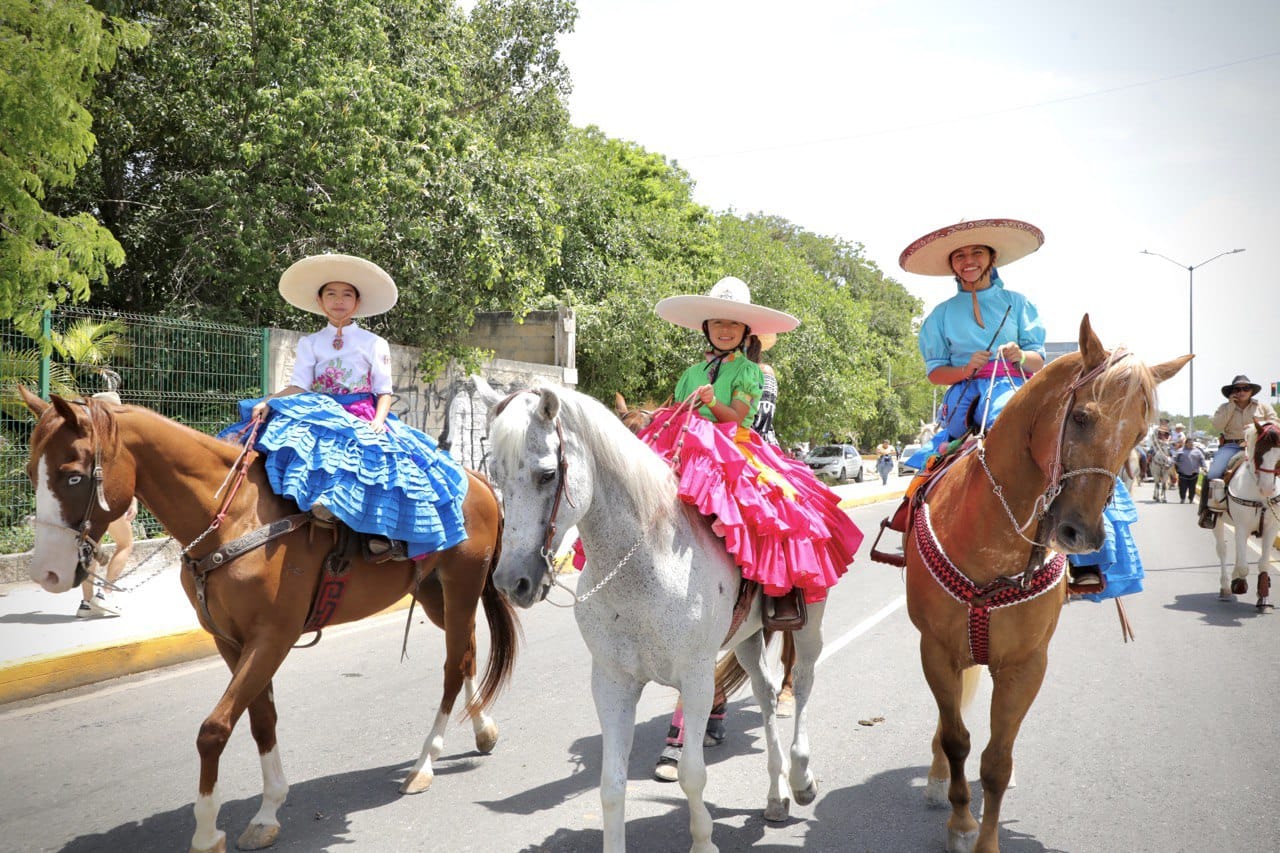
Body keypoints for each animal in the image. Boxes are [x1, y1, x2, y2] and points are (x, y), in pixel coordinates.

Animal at [17, 386, 517, 850]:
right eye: (30, 472)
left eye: (73, 476)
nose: (46, 572)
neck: (232, 519)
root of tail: (476, 479)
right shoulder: (230, 641)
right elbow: (261, 719)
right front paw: (268, 811)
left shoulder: (272, 638)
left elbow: (214, 729)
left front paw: (207, 833)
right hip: (436, 596)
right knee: (468, 653)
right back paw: (483, 729)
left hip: (462, 586)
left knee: (452, 668)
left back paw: (425, 763)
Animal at [483, 384, 824, 850]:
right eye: (495, 475)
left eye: (547, 475)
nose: (510, 582)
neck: (646, 558)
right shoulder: (611, 682)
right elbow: (611, 785)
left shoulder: (697, 679)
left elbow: (691, 774)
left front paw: (704, 841)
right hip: (747, 637)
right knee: (766, 693)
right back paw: (776, 796)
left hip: (808, 625)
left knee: (803, 684)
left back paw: (802, 777)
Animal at [901, 318, 1187, 850]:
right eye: (1082, 418)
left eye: (1140, 434)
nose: (1080, 533)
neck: (993, 536)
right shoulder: (936, 649)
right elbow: (957, 740)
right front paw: (960, 823)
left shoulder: (1026, 664)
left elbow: (996, 761)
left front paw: (986, 837)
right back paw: (935, 777)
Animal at [1208, 417, 1280, 604]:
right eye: (1259, 452)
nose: (1267, 488)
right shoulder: (1241, 527)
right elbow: (1243, 567)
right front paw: (1239, 583)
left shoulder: (1271, 528)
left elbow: (1263, 563)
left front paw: (1263, 594)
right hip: (1217, 522)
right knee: (1222, 550)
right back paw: (1226, 586)